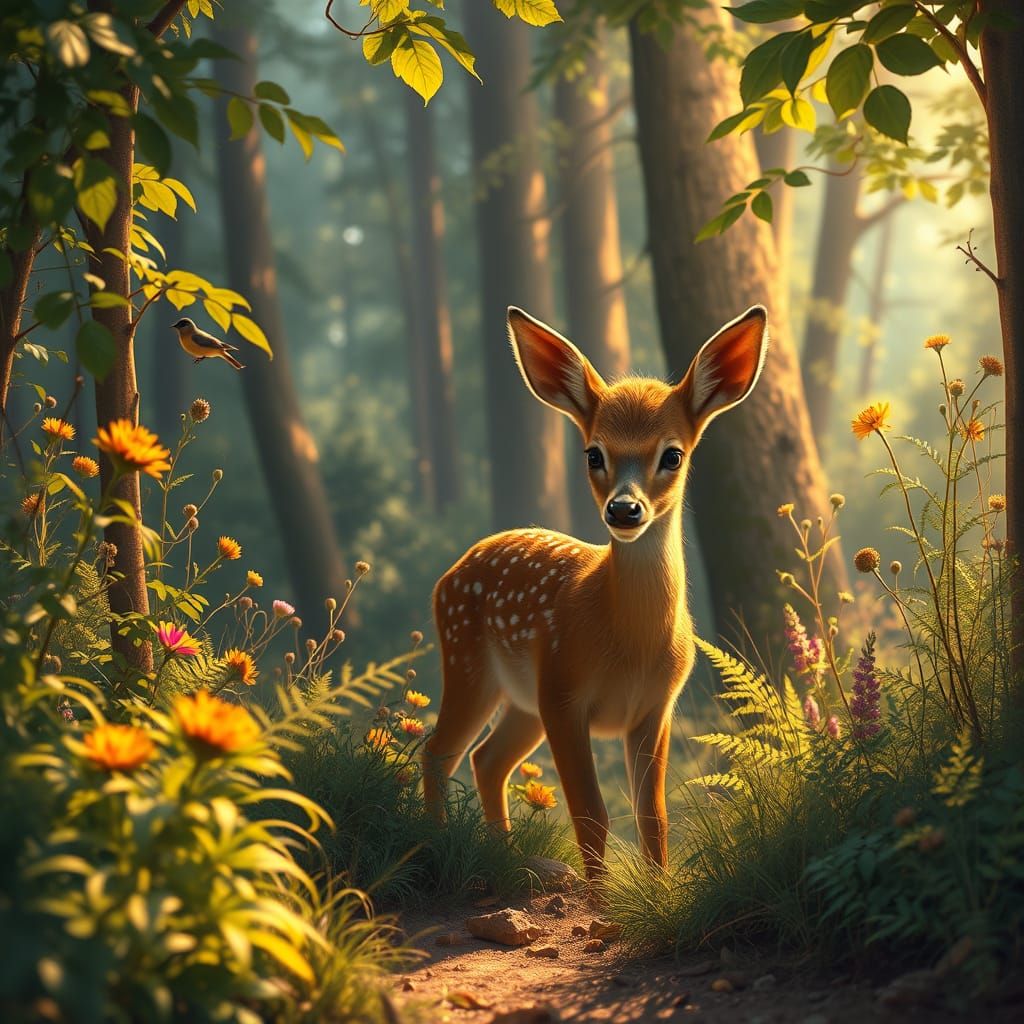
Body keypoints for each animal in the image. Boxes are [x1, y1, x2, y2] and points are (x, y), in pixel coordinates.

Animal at [423, 304, 769, 879]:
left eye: (672, 455)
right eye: (592, 454)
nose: (624, 510)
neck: (627, 641)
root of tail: (450, 572)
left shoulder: (656, 706)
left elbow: (653, 814)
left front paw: (659, 890)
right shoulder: (565, 694)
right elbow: (590, 812)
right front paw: (599, 899)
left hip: (523, 700)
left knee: (486, 759)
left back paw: (511, 858)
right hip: (470, 661)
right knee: (440, 750)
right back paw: (438, 847)